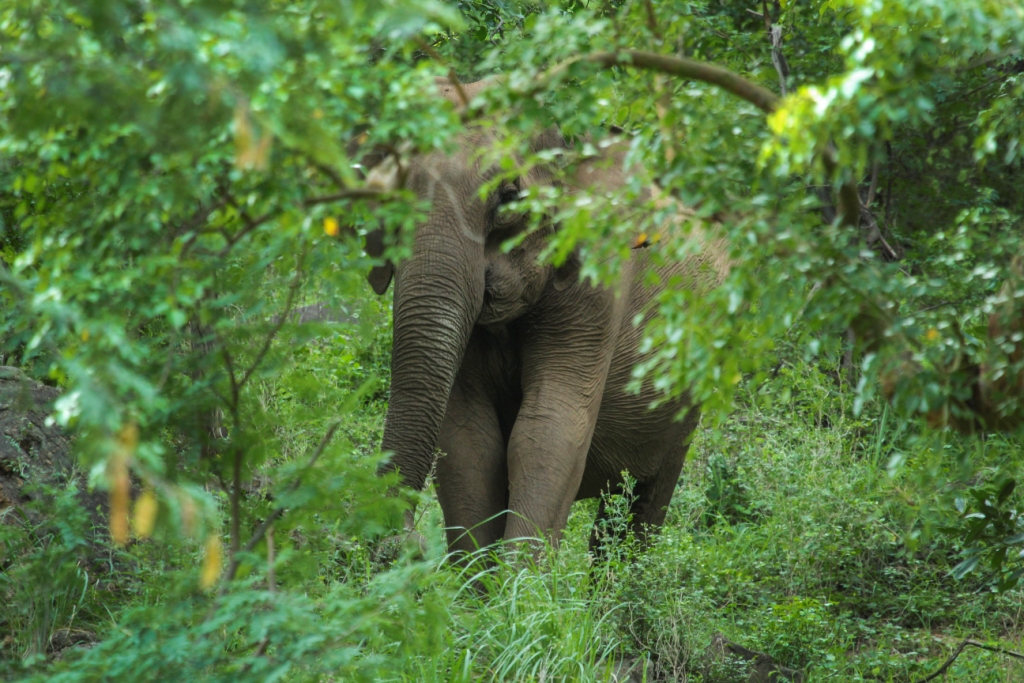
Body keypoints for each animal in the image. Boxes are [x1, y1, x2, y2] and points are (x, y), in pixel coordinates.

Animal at [364, 78, 724, 557]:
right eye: (388, 202)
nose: (406, 541)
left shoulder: (598, 277)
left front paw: (517, 580)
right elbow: (469, 442)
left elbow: (548, 431)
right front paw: (476, 580)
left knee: (645, 502)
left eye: (508, 198)